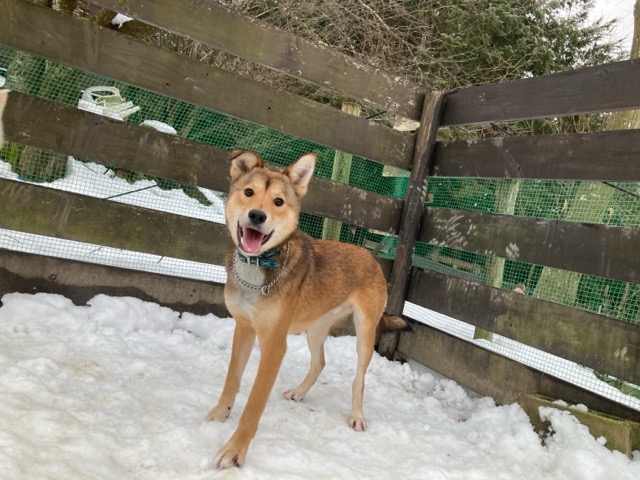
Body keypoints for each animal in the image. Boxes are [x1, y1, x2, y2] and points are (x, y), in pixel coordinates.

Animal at [207, 150, 408, 468]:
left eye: (279, 202)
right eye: (248, 192)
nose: (257, 215)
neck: (259, 266)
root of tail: (371, 256)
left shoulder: (275, 346)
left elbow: (253, 405)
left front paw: (234, 451)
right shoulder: (244, 327)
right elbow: (231, 380)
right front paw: (220, 412)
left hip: (365, 331)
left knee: (359, 379)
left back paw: (357, 417)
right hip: (315, 328)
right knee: (319, 362)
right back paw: (299, 393)